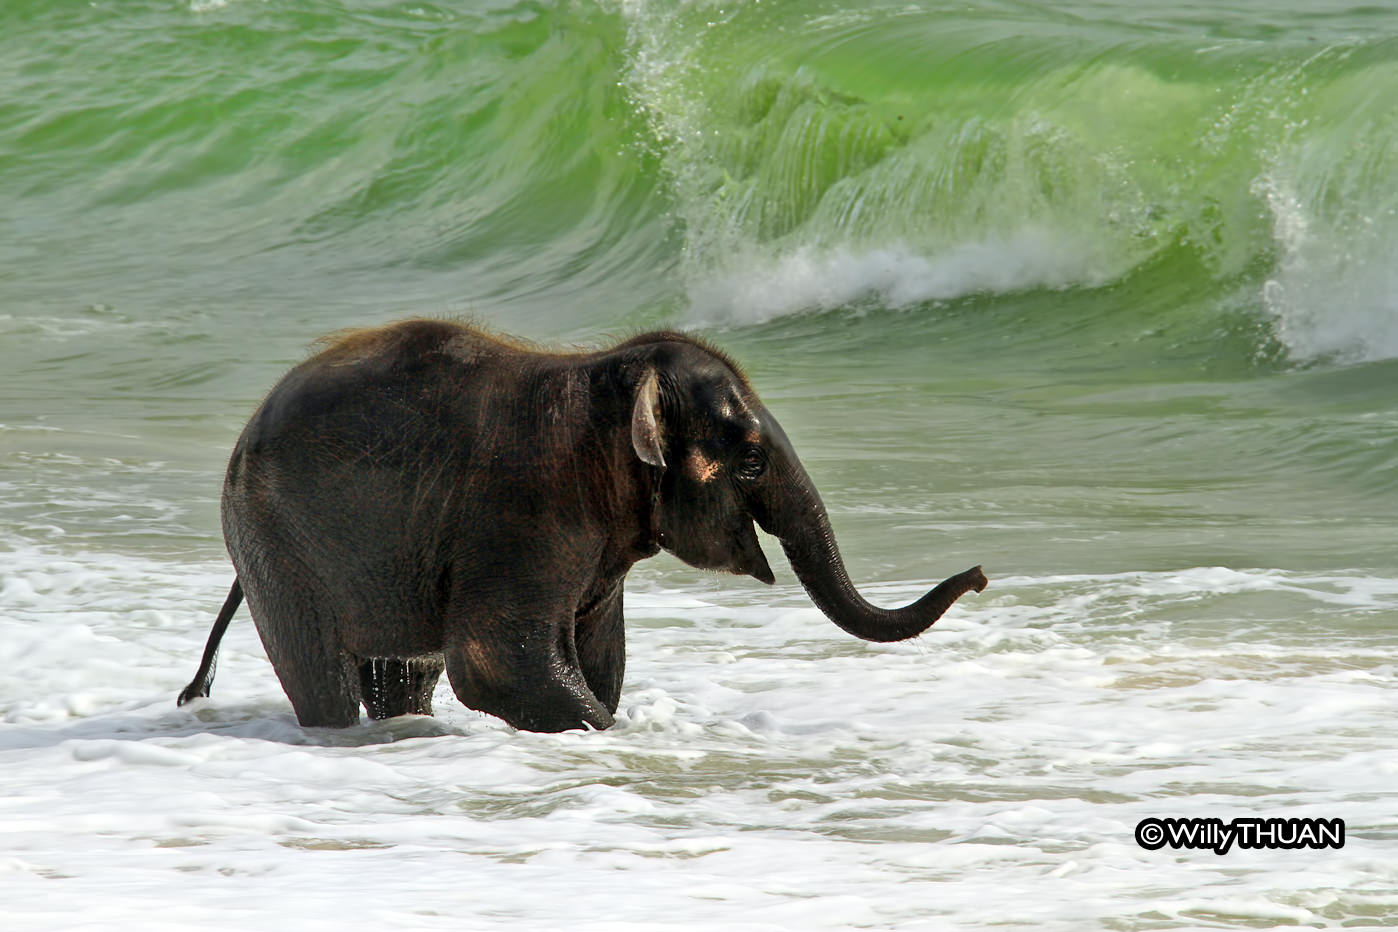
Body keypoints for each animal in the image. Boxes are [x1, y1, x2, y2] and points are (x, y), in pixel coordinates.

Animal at [178, 320, 987, 732]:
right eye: (753, 461)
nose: (979, 575)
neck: (605, 373)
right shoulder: (524, 514)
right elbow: (499, 664)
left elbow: (598, 663)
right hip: (273, 544)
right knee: (324, 680)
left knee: (401, 674)